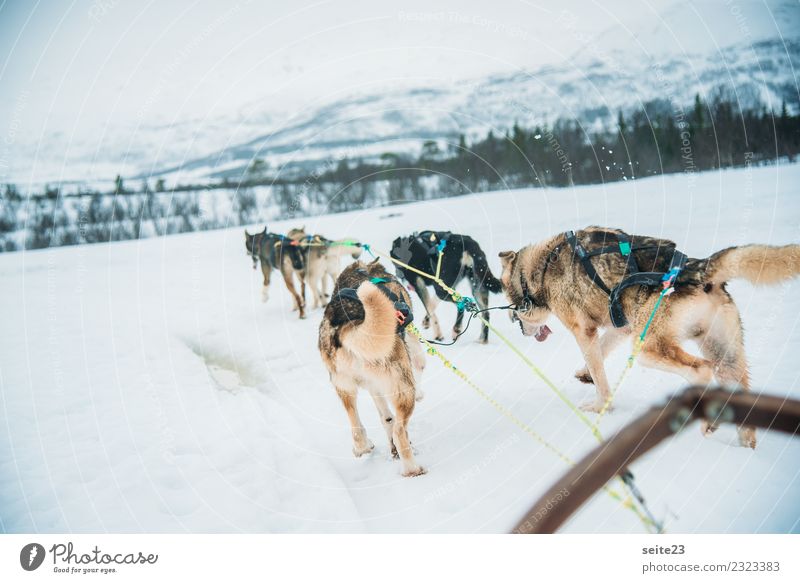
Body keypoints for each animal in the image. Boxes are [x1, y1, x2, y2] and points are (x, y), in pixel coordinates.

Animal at [320, 262, 428, 480]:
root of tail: (349, 324)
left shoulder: (373, 386)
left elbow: (386, 418)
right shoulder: (412, 341)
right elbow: (421, 362)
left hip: (343, 386)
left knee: (357, 426)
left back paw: (363, 446)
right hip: (403, 388)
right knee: (399, 431)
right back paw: (412, 469)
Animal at [500, 226, 800, 450]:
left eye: (509, 301)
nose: (514, 320)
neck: (540, 267)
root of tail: (698, 268)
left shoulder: (583, 331)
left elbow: (600, 377)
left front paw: (599, 406)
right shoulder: (622, 326)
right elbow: (600, 354)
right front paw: (584, 374)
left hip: (647, 349)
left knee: (701, 370)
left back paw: (705, 419)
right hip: (724, 357)